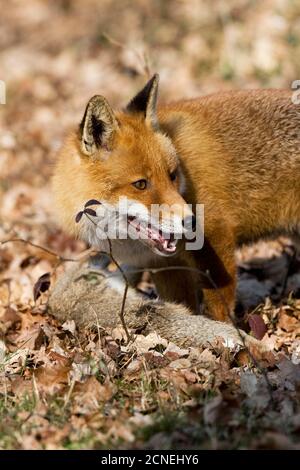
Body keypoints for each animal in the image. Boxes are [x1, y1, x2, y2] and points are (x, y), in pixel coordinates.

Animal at [52, 75, 300, 322]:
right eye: (141, 184)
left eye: (172, 175)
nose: (192, 221)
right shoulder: (166, 264)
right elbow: (184, 306)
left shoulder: (216, 240)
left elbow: (220, 311)